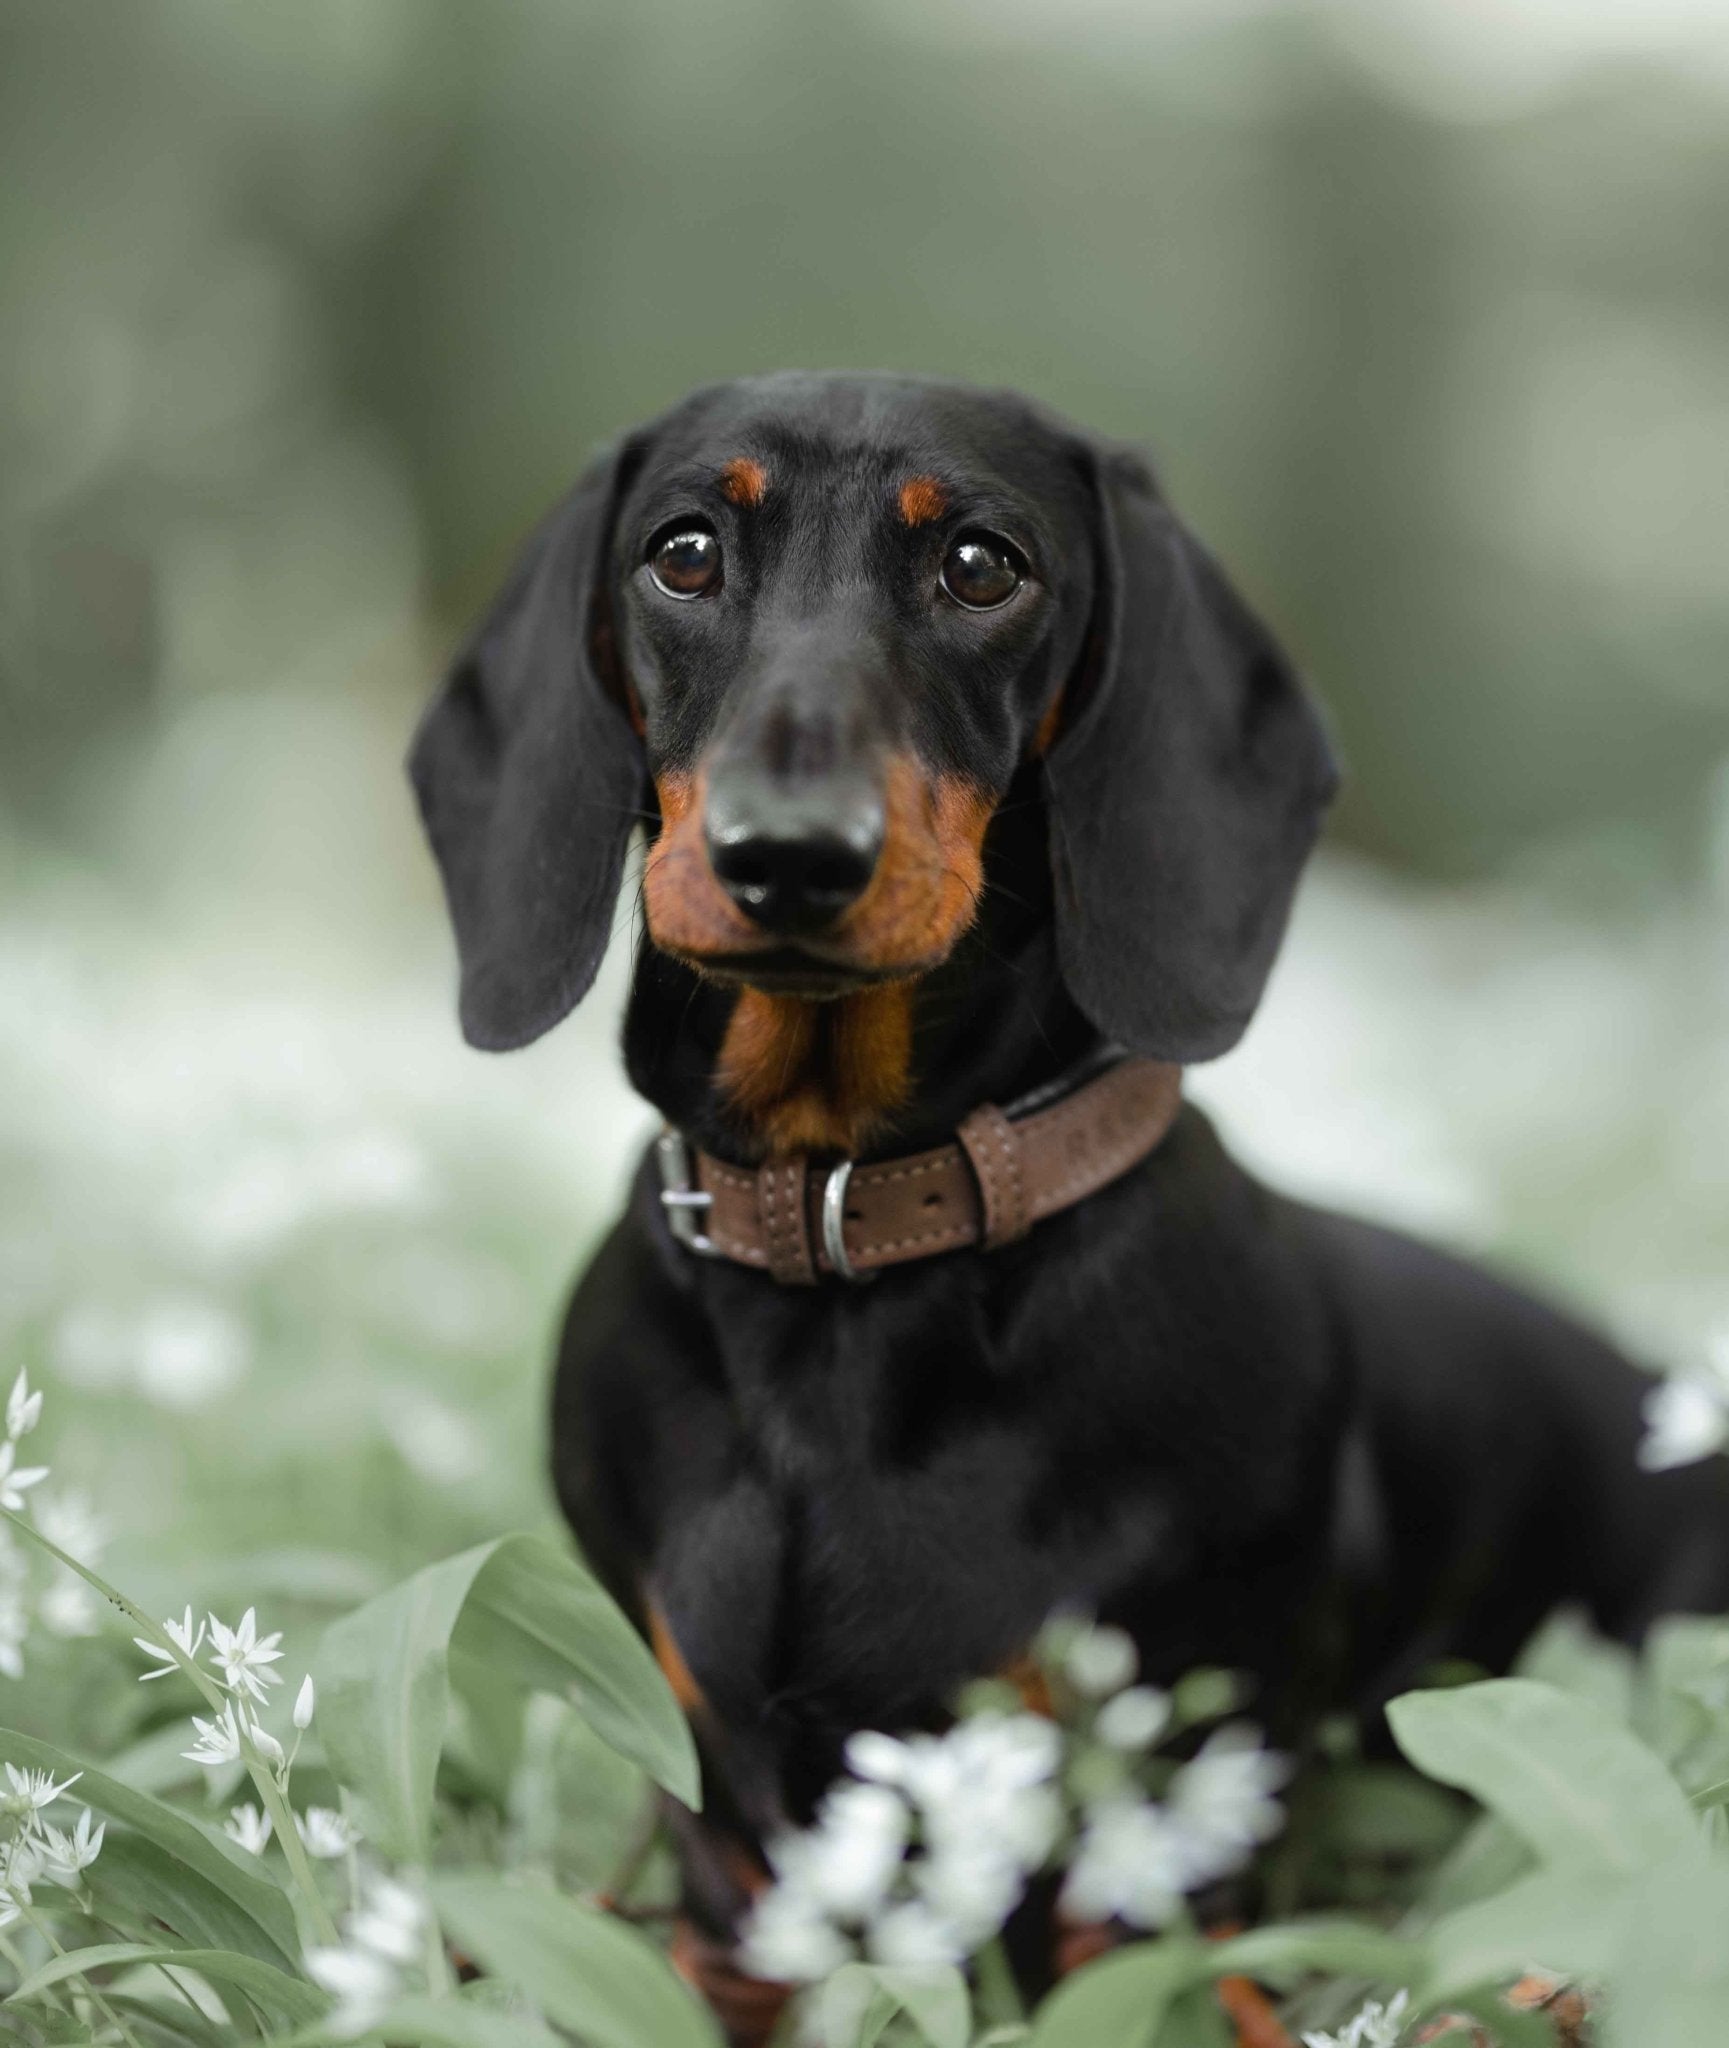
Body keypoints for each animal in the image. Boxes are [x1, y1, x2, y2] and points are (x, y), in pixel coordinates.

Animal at [415, 372, 1729, 2031]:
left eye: (985, 565)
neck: (850, 1238)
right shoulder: (723, 1838)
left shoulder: (1156, 1814)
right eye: (684, 552)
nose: (788, 857)